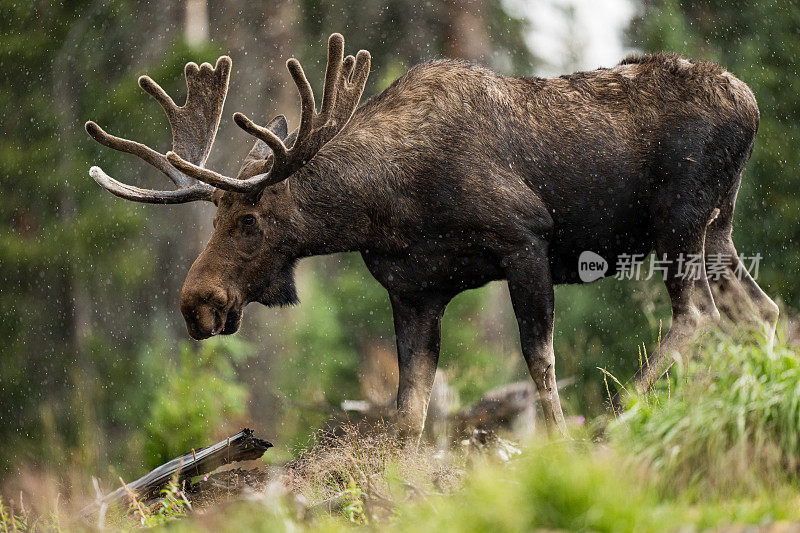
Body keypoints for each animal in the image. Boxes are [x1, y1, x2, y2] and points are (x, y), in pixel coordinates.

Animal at [86, 32, 776, 440]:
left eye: (250, 220)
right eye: (213, 218)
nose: (196, 303)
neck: (384, 205)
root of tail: (751, 104)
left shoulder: (525, 240)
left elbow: (539, 361)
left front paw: (560, 439)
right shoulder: (414, 289)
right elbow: (409, 408)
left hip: (678, 222)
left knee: (699, 316)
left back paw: (620, 413)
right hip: (719, 228)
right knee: (759, 308)